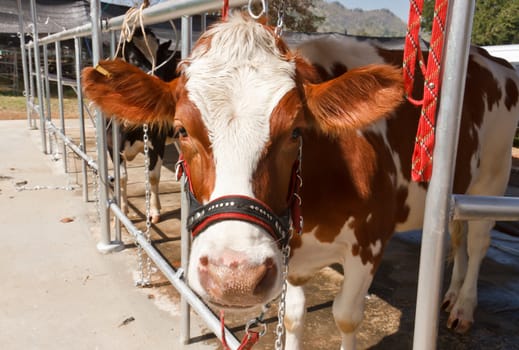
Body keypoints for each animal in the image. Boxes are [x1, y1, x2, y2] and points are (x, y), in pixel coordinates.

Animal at [106, 29, 179, 221]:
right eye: (134, 60)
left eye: (160, 61)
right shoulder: (111, 144)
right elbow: (122, 178)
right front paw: (123, 210)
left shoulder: (157, 142)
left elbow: (153, 176)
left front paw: (154, 211)